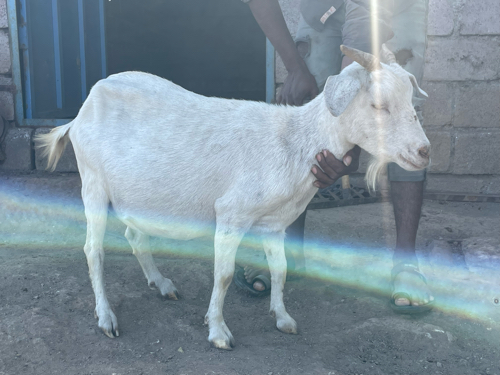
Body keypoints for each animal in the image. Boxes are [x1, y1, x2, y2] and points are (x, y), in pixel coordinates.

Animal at [37, 45, 432, 352]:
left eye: (411, 99)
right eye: (378, 105)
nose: (424, 151)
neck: (293, 141)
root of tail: (80, 112)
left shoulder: (275, 223)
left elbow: (280, 269)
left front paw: (283, 317)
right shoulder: (231, 214)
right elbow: (224, 274)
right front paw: (218, 331)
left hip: (135, 193)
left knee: (135, 235)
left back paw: (162, 285)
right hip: (93, 183)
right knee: (94, 250)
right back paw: (106, 317)